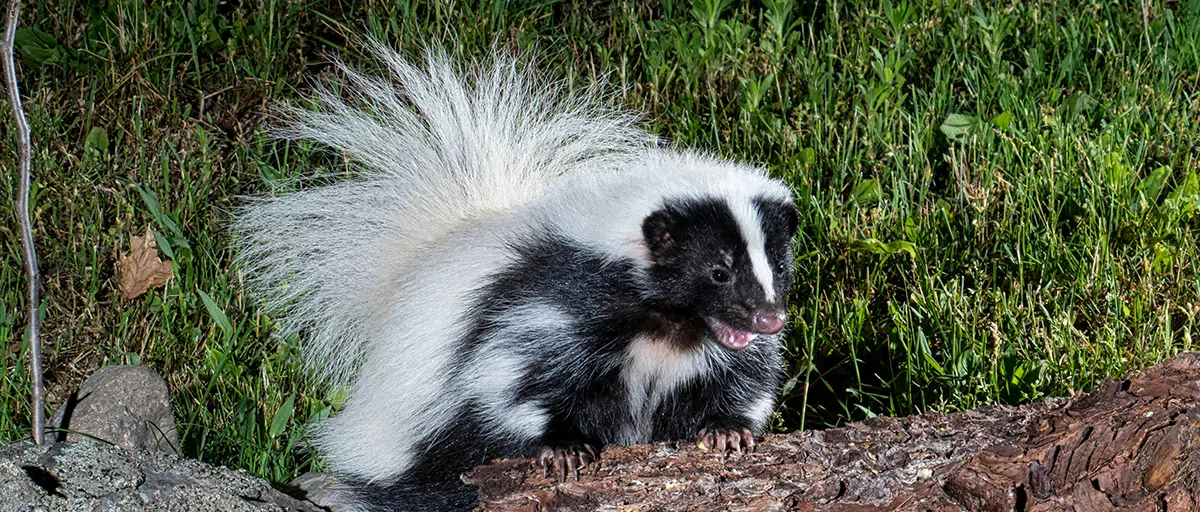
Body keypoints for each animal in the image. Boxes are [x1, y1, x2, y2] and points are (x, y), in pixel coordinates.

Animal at [232, 44, 796, 512]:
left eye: (778, 266)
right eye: (717, 271)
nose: (769, 319)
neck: (669, 330)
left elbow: (747, 379)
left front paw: (727, 431)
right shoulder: (549, 310)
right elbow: (509, 379)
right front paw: (563, 448)